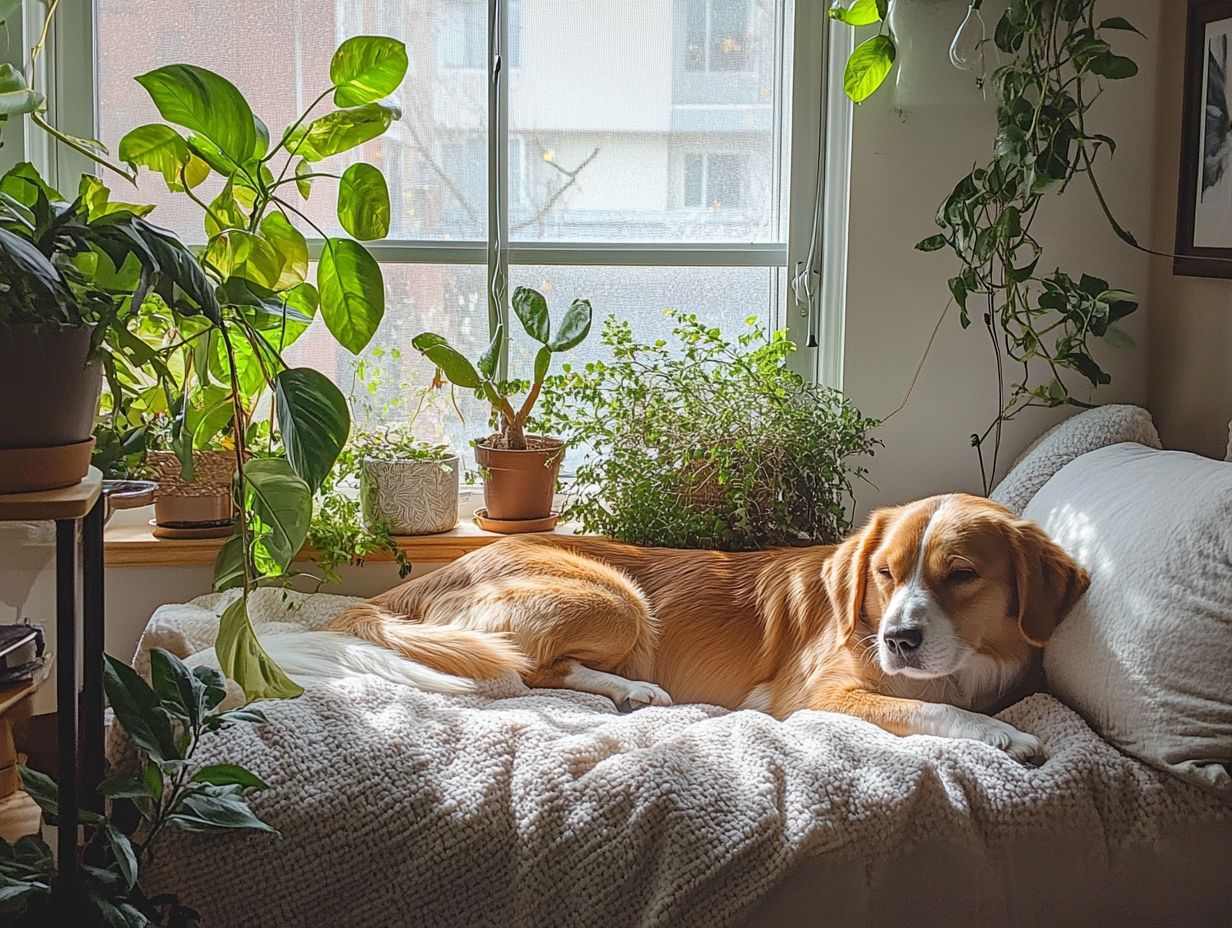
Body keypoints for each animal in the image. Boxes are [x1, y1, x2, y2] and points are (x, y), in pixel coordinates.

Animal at [322, 492, 1084, 759]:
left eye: (961, 574)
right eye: (885, 574)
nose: (897, 640)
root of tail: (432, 576)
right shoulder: (815, 697)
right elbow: (934, 712)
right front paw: (1004, 736)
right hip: (621, 599)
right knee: (530, 669)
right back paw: (634, 691)